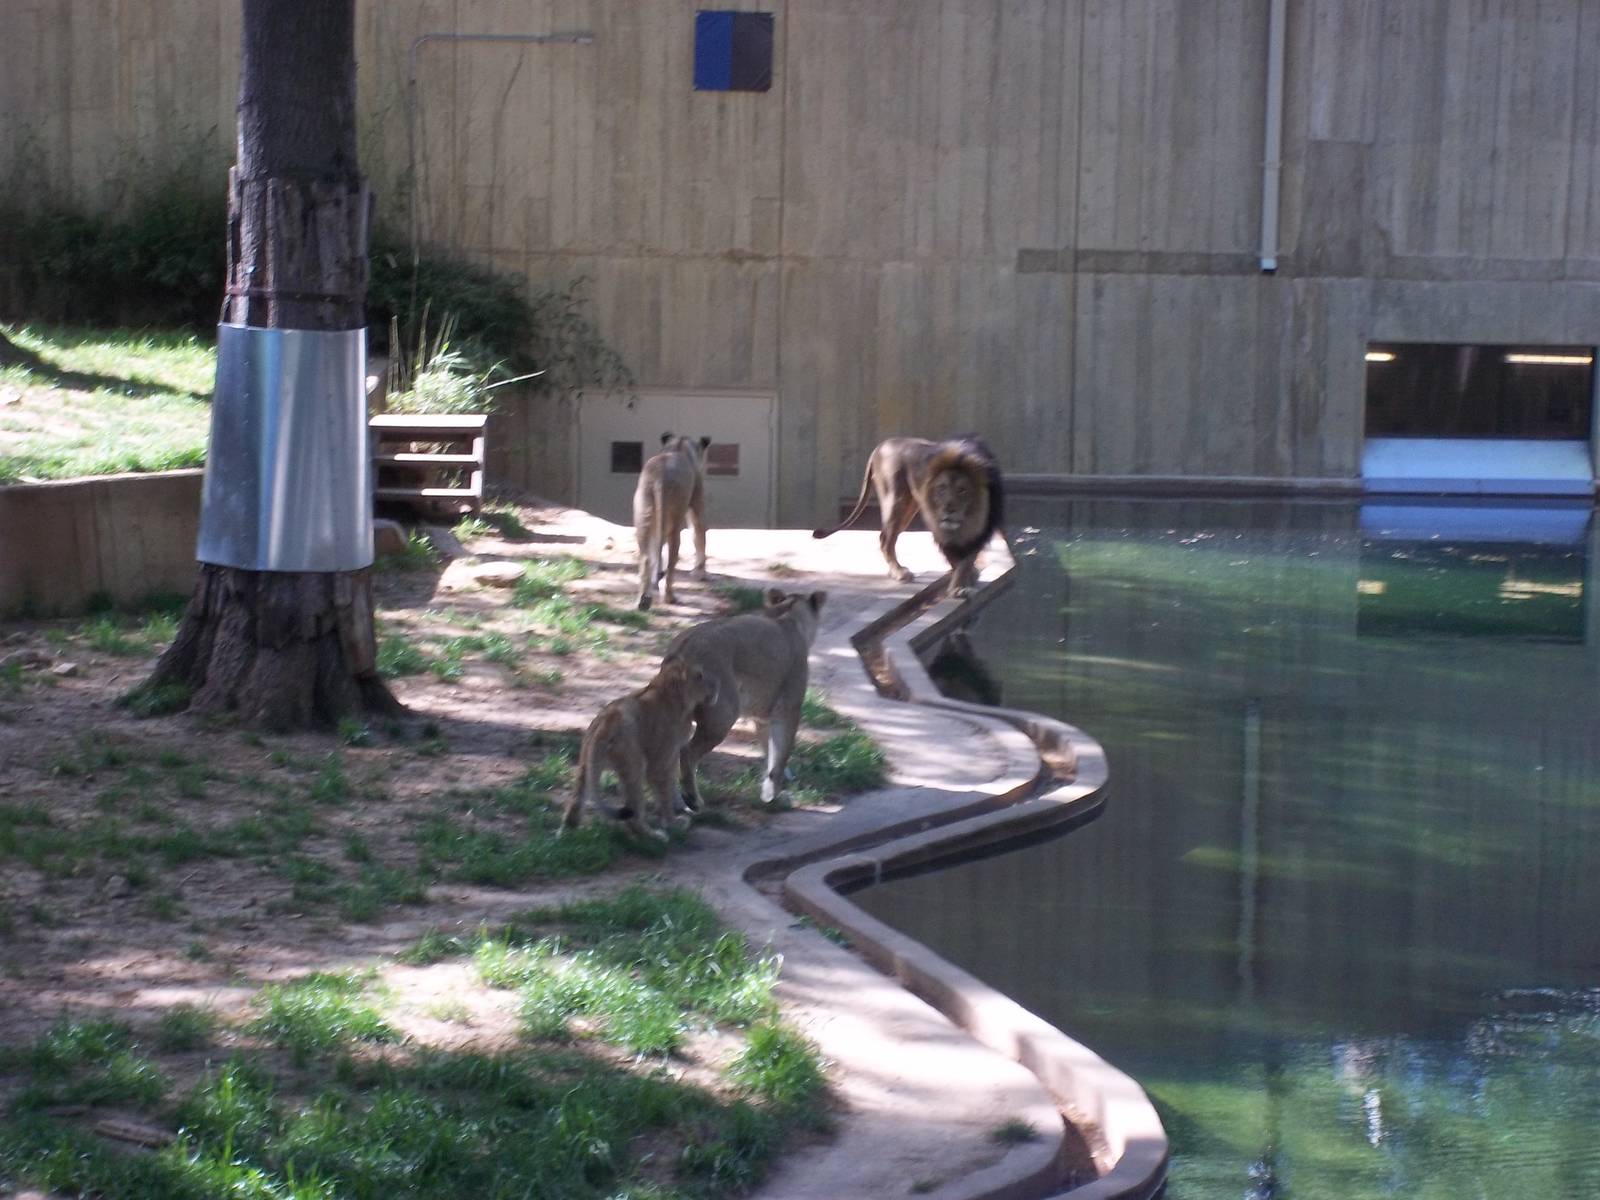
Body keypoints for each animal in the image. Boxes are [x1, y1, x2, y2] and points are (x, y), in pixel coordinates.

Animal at [561, 658, 719, 840]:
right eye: (699, 676)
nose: (717, 686)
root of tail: (608, 721)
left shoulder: (671, 756)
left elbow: (671, 785)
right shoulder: (660, 762)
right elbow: (665, 794)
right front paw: (673, 823)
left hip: (587, 762)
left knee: (576, 800)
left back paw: (567, 832)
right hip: (635, 764)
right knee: (633, 816)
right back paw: (654, 835)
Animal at [634, 433, 711, 610]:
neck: (679, 446)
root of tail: (660, 478)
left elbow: (656, 551)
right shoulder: (697, 504)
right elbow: (699, 534)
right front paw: (700, 573)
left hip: (644, 516)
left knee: (646, 557)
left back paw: (642, 601)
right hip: (674, 523)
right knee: (671, 563)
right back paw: (669, 597)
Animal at [662, 587, 827, 810]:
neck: (788, 614)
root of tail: (684, 648)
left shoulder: (763, 717)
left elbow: (770, 752)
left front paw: (773, 788)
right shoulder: (788, 710)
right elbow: (781, 753)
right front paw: (774, 797)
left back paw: (676, 805)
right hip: (722, 716)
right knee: (687, 752)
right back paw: (692, 800)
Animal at [812, 435, 1004, 597]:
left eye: (962, 490)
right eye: (941, 488)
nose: (948, 508)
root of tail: (881, 446)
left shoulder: (981, 528)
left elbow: (968, 558)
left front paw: (967, 577)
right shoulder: (939, 525)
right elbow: (957, 559)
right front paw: (960, 586)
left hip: (908, 507)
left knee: (886, 538)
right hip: (896, 502)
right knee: (886, 539)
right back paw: (899, 572)